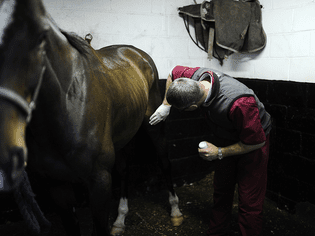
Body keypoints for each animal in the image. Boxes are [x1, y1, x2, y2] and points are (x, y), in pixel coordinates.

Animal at [0, 0, 183, 235]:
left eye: (39, 37)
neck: (68, 107)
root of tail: (137, 53)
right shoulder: (57, 185)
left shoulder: (99, 182)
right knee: (124, 169)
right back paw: (120, 220)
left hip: (154, 125)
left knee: (164, 162)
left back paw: (175, 211)